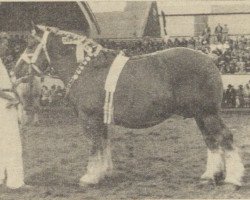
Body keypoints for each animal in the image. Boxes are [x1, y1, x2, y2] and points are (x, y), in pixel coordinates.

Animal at [31, 25, 244, 188]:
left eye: (31, 44)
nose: (22, 70)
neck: (88, 69)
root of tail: (210, 60)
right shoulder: (101, 119)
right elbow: (103, 143)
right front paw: (104, 173)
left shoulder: (89, 118)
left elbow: (95, 145)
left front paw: (90, 177)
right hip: (200, 115)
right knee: (211, 140)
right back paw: (210, 176)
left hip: (208, 113)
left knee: (224, 137)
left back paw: (232, 179)